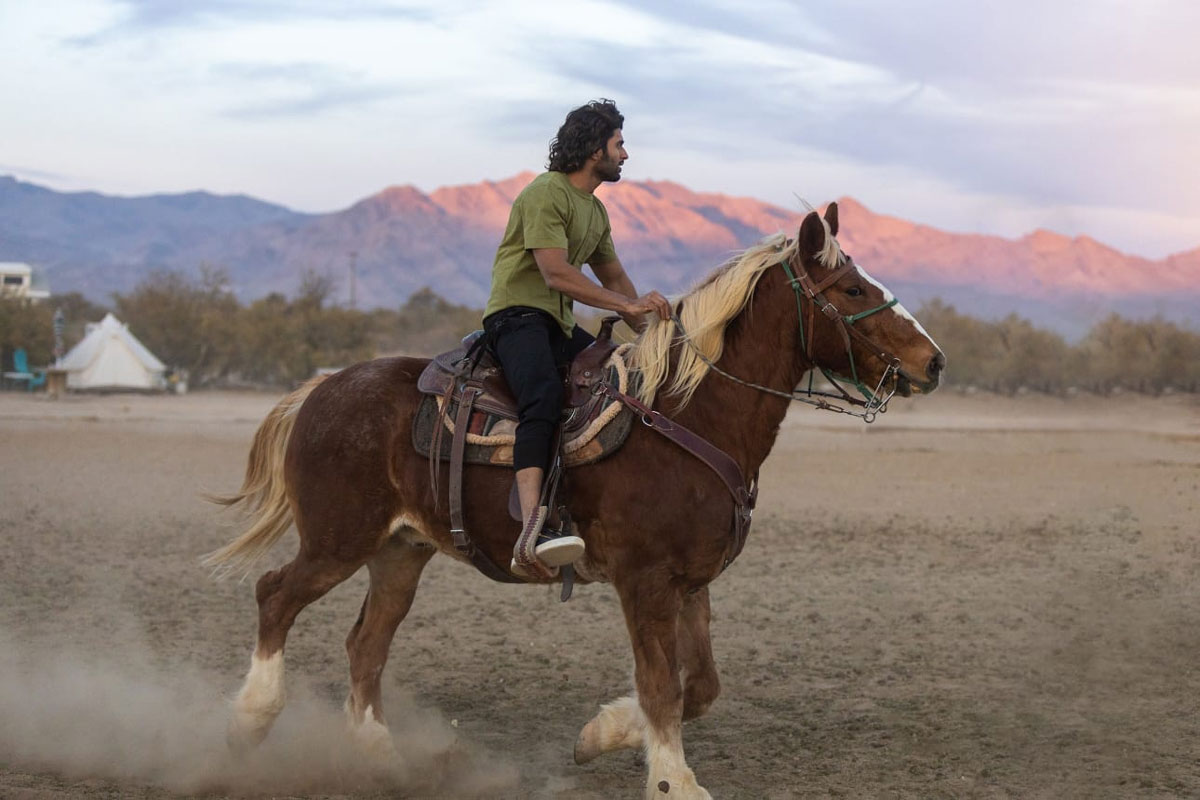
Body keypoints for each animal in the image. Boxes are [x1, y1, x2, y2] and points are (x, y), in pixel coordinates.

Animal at [206, 203, 945, 796]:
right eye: (852, 287)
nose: (933, 362)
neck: (689, 415)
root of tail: (322, 387)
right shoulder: (644, 579)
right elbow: (661, 684)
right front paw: (673, 780)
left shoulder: (691, 581)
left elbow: (698, 685)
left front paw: (601, 734)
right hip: (337, 540)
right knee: (275, 596)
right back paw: (248, 721)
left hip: (400, 552)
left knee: (366, 642)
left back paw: (379, 756)